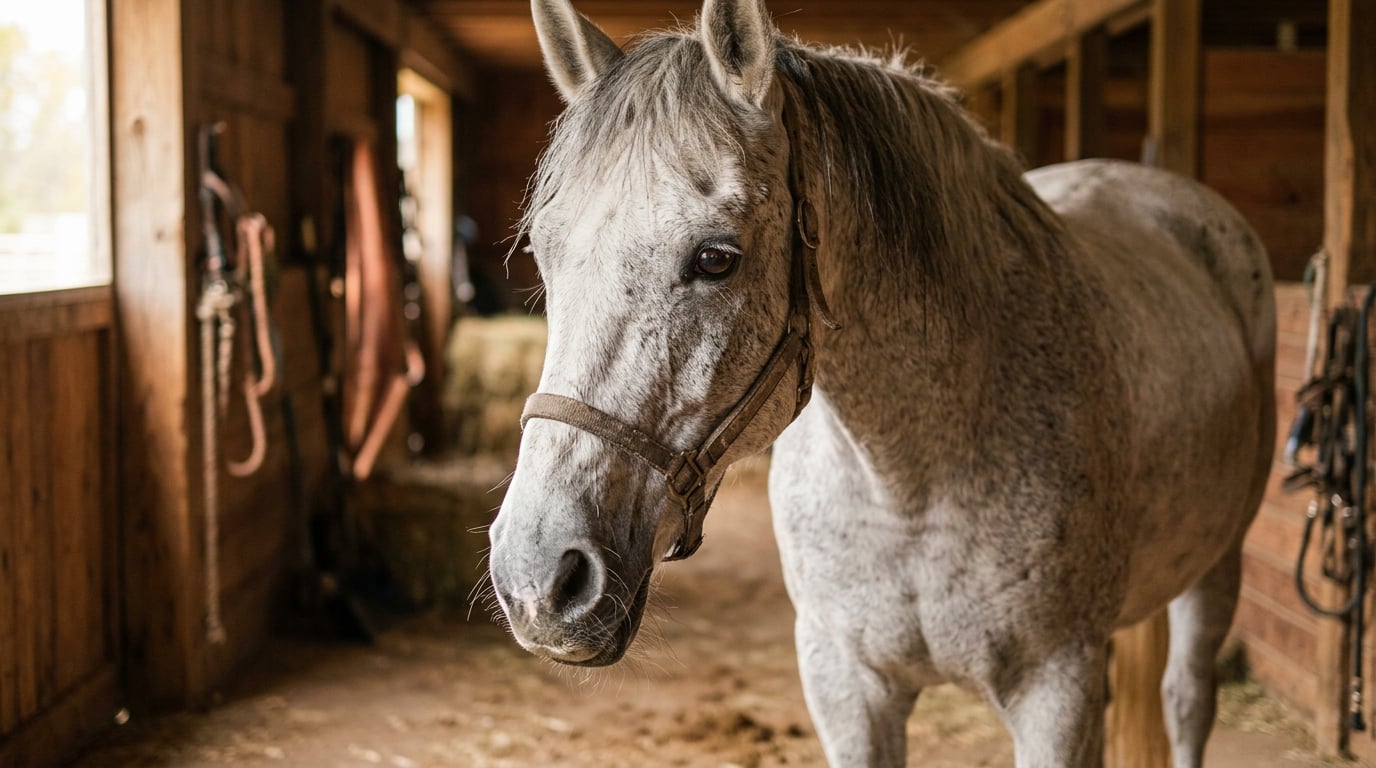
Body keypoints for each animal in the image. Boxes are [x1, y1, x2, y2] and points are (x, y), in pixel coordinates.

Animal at [486, 1, 1276, 765]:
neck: (911, 479)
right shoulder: (845, 685)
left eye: (716, 258)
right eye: (543, 252)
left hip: (1218, 569)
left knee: (1187, 698)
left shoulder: (1057, 688)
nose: (539, 577)